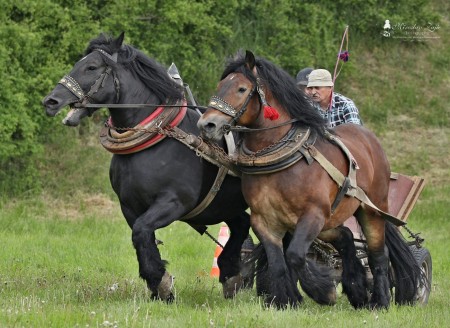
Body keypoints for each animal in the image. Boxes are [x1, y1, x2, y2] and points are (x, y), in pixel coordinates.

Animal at [41, 32, 250, 302]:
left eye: (91, 67)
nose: (51, 101)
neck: (157, 139)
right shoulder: (129, 205)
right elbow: (141, 236)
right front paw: (159, 284)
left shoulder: (173, 202)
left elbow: (141, 231)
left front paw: (160, 282)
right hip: (227, 205)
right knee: (243, 224)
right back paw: (231, 275)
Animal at [198, 50, 426, 308]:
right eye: (220, 86)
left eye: (241, 89)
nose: (207, 124)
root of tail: (370, 139)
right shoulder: (264, 220)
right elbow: (278, 263)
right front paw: (285, 301)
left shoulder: (312, 214)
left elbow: (295, 256)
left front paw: (321, 291)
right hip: (330, 219)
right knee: (346, 238)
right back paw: (357, 289)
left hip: (370, 210)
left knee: (378, 255)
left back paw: (380, 300)